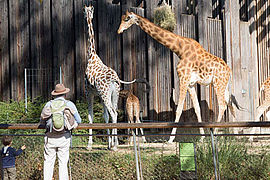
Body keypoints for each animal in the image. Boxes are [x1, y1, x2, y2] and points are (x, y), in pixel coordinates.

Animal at [85, 5, 147, 150]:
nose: (87, 15)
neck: (91, 55)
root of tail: (114, 79)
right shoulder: (99, 95)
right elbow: (105, 116)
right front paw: (109, 143)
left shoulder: (89, 92)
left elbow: (91, 117)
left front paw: (90, 145)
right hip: (114, 93)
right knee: (115, 113)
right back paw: (115, 144)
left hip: (106, 94)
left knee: (114, 113)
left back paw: (114, 146)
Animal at [117, 10, 242, 143]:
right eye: (122, 18)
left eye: (127, 19)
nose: (119, 31)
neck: (180, 49)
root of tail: (229, 71)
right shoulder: (190, 83)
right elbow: (197, 108)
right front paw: (202, 138)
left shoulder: (183, 79)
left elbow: (179, 109)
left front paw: (170, 139)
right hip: (224, 85)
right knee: (230, 103)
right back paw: (235, 135)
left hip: (218, 84)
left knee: (223, 105)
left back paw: (217, 133)